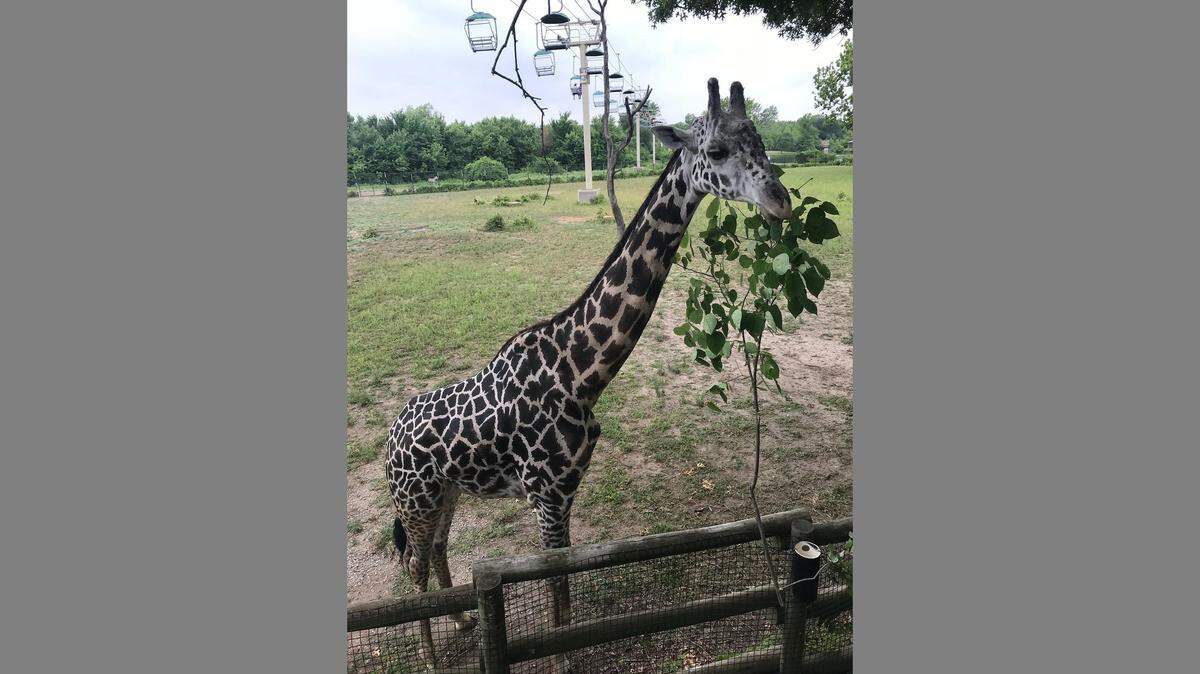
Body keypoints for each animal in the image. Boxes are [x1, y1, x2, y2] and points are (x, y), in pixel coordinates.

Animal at [385, 78, 792, 666]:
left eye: (759, 140)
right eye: (714, 151)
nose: (781, 201)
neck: (579, 374)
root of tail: (388, 441)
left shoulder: (567, 491)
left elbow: (566, 580)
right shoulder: (547, 495)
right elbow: (556, 584)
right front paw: (560, 658)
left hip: (447, 492)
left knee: (437, 551)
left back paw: (461, 618)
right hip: (414, 499)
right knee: (414, 563)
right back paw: (431, 656)